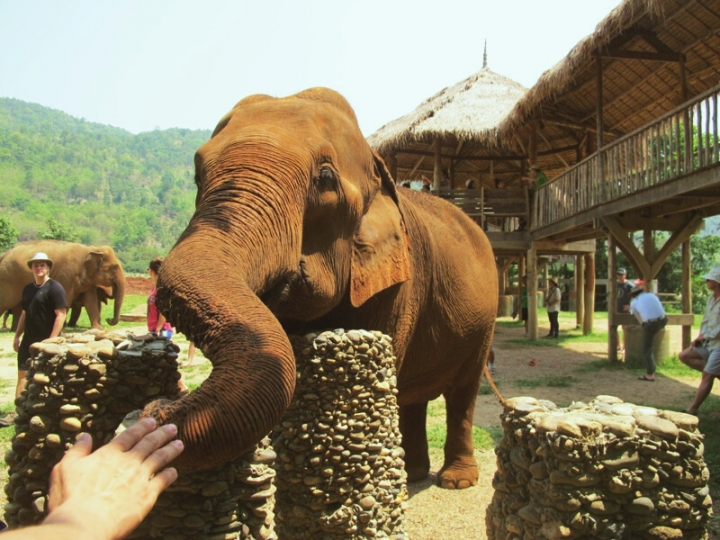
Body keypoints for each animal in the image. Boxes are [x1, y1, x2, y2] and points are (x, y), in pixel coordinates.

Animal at [148, 88, 498, 489]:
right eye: (197, 175)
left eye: (325, 179)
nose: (157, 407)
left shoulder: (400, 286)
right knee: (413, 396)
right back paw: (413, 475)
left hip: (484, 323)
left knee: (461, 395)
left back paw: (455, 480)